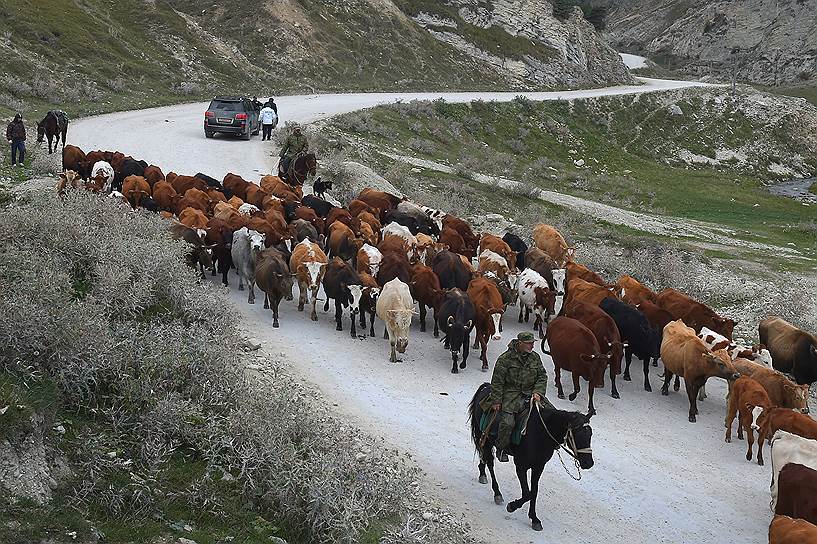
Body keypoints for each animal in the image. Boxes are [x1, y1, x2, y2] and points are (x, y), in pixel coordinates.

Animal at [468, 382, 596, 532]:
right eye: (578, 434)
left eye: (590, 435)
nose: (589, 463)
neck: (539, 433)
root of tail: (487, 387)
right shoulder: (521, 466)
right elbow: (527, 493)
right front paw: (512, 506)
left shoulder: (538, 467)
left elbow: (534, 492)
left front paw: (534, 518)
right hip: (485, 438)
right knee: (490, 462)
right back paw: (497, 493)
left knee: (483, 456)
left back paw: (482, 474)